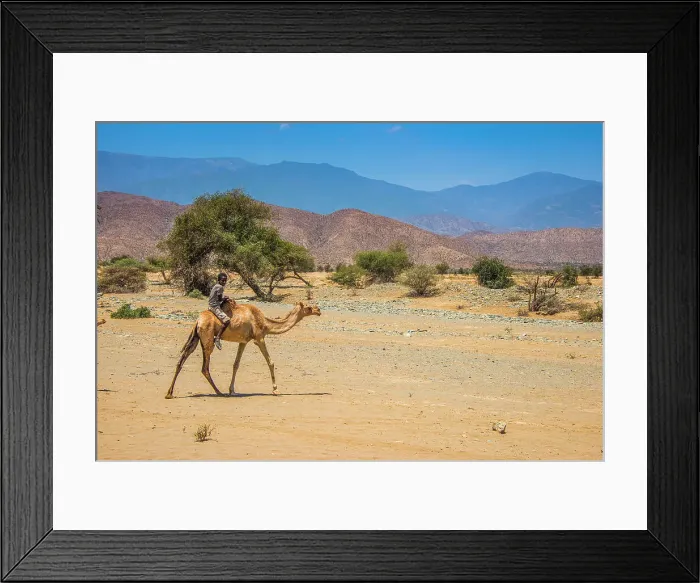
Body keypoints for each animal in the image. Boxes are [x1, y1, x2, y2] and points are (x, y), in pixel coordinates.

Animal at [165, 300, 321, 399]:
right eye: (308, 307)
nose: (318, 310)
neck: (265, 322)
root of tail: (198, 321)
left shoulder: (243, 341)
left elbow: (236, 364)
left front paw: (231, 390)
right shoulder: (259, 338)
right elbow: (270, 362)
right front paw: (276, 390)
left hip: (196, 338)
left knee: (181, 361)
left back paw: (169, 393)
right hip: (208, 339)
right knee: (205, 367)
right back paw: (218, 392)